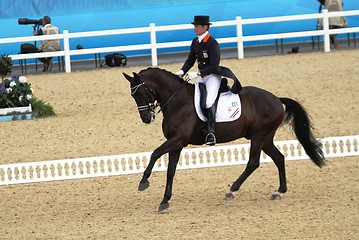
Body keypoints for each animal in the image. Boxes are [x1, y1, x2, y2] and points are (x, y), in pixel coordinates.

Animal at [123, 67, 326, 212]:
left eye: (141, 93)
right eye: (133, 95)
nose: (146, 118)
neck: (177, 101)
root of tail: (276, 98)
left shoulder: (179, 139)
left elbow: (155, 153)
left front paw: (143, 182)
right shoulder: (176, 143)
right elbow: (170, 171)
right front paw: (165, 201)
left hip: (259, 136)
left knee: (253, 162)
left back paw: (232, 190)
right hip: (265, 138)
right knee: (279, 158)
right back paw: (279, 191)